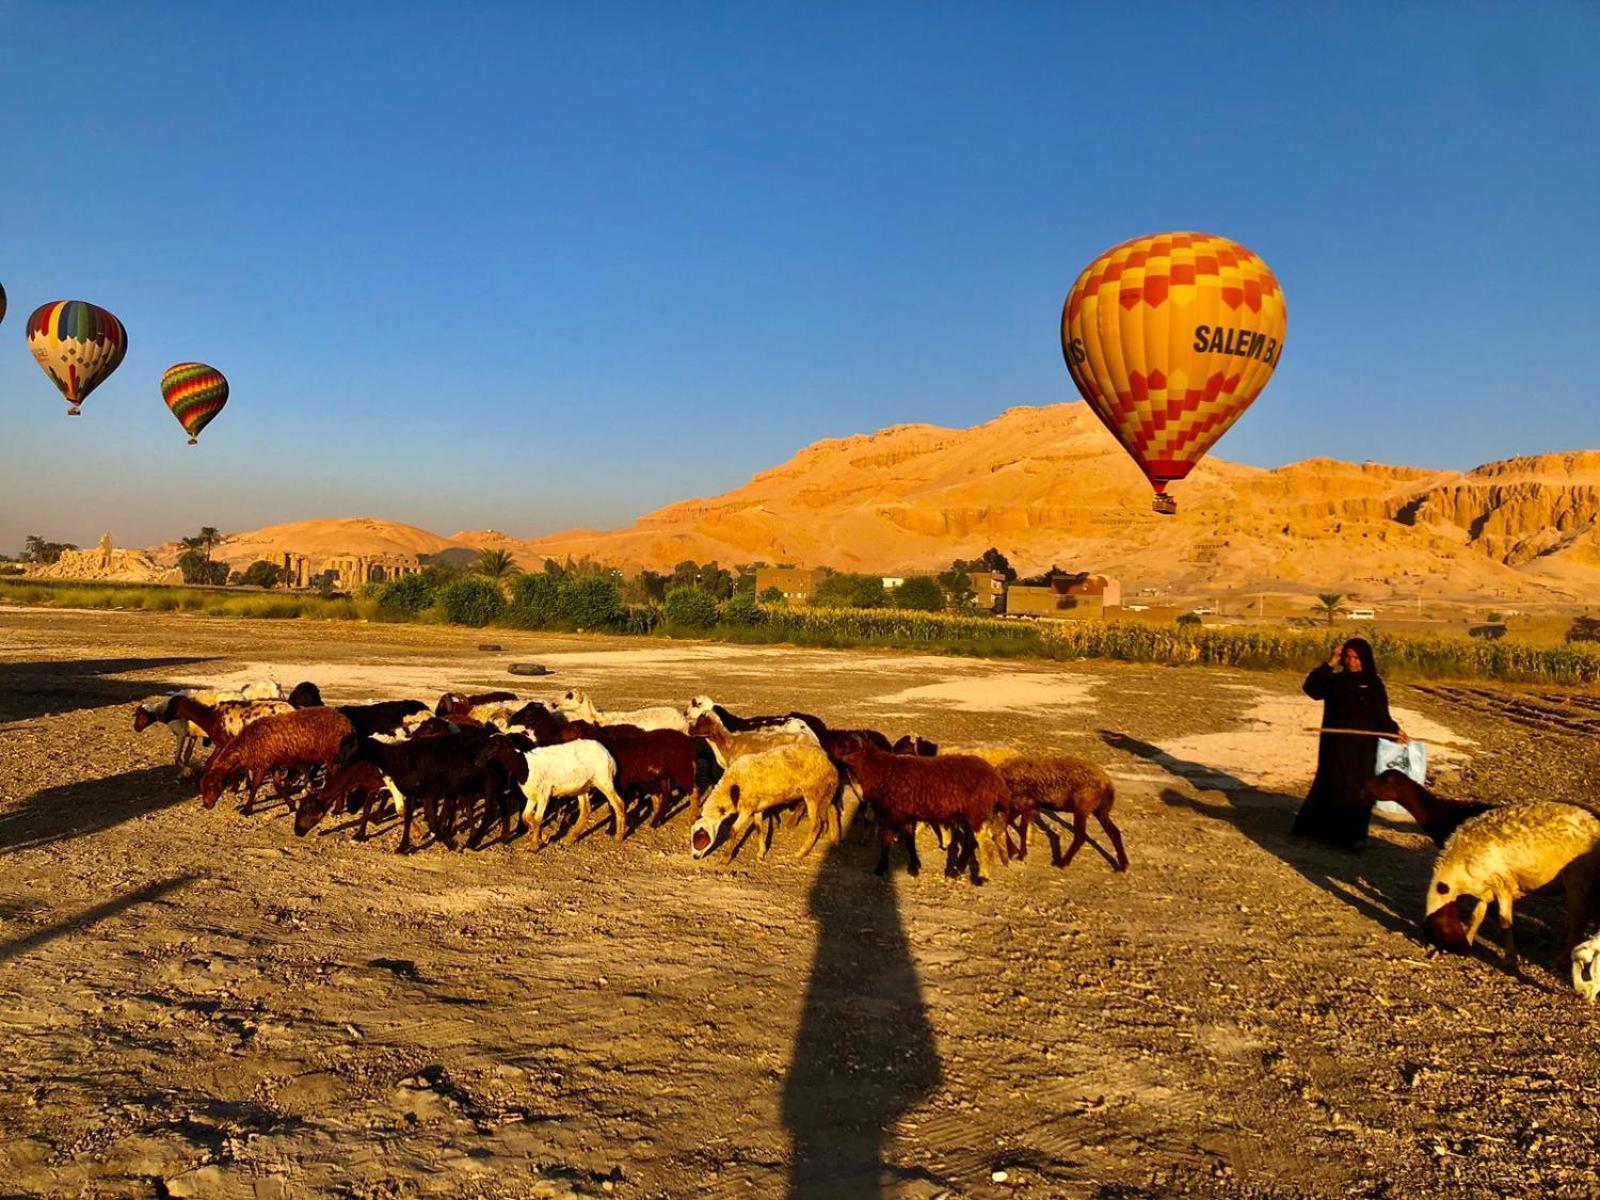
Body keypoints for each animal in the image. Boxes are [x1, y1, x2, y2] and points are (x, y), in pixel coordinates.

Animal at [688, 748, 838, 857]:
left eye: (699, 837)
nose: (694, 857)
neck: (731, 788)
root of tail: (830, 766)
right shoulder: (757, 808)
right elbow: (758, 828)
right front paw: (761, 853)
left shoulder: (746, 808)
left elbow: (734, 829)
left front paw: (725, 859)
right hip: (824, 793)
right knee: (831, 809)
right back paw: (833, 838)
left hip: (812, 793)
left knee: (816, 824)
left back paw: (802, 852)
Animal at [1427, 803, 1600, 972]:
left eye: (1438, 931)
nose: (1458, 949)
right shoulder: (1488, 887)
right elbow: (1476, 915)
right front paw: (1468, 939)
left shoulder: (1503, 885)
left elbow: (1505, 921)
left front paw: (1509, 958)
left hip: (1577, 878)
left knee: (1578, 921)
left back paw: (1560, 963)